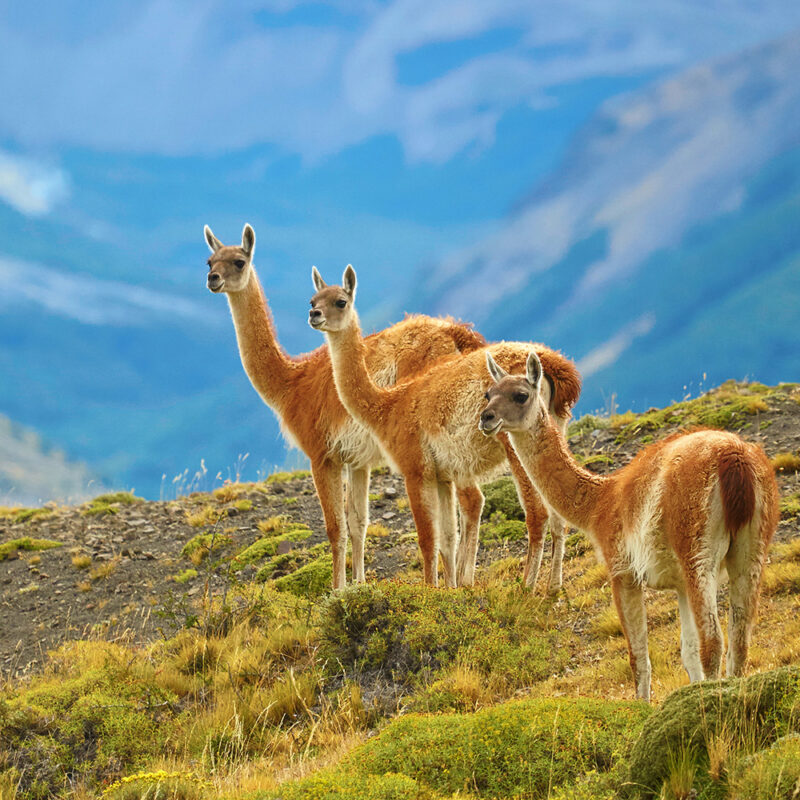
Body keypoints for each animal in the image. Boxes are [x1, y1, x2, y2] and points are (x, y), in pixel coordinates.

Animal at [308, 265, 581, 588]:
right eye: (313, 299)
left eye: (340, 301)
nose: (313, 315)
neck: (388, 405)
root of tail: (555, 367)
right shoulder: (441, 474)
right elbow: (447, 537)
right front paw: (449, 588)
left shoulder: (416, 469)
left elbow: (427, 539)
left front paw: (430, 590)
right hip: (554, 431)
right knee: (558, 512)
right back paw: (553, 587)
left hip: (517, 442)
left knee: (537, 513)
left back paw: (527, 586)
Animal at [480, 350, 779, 700]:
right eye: (488, 394)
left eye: (521, 395)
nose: (486, 418)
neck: (601, 502)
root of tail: (733, 457)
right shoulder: (679, 585)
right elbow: (687, 653)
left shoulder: (623, 572)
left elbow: (639, 658)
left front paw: (642, 707)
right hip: (751, 547)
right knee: (740, 641)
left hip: (697, 549)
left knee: (714, 643)